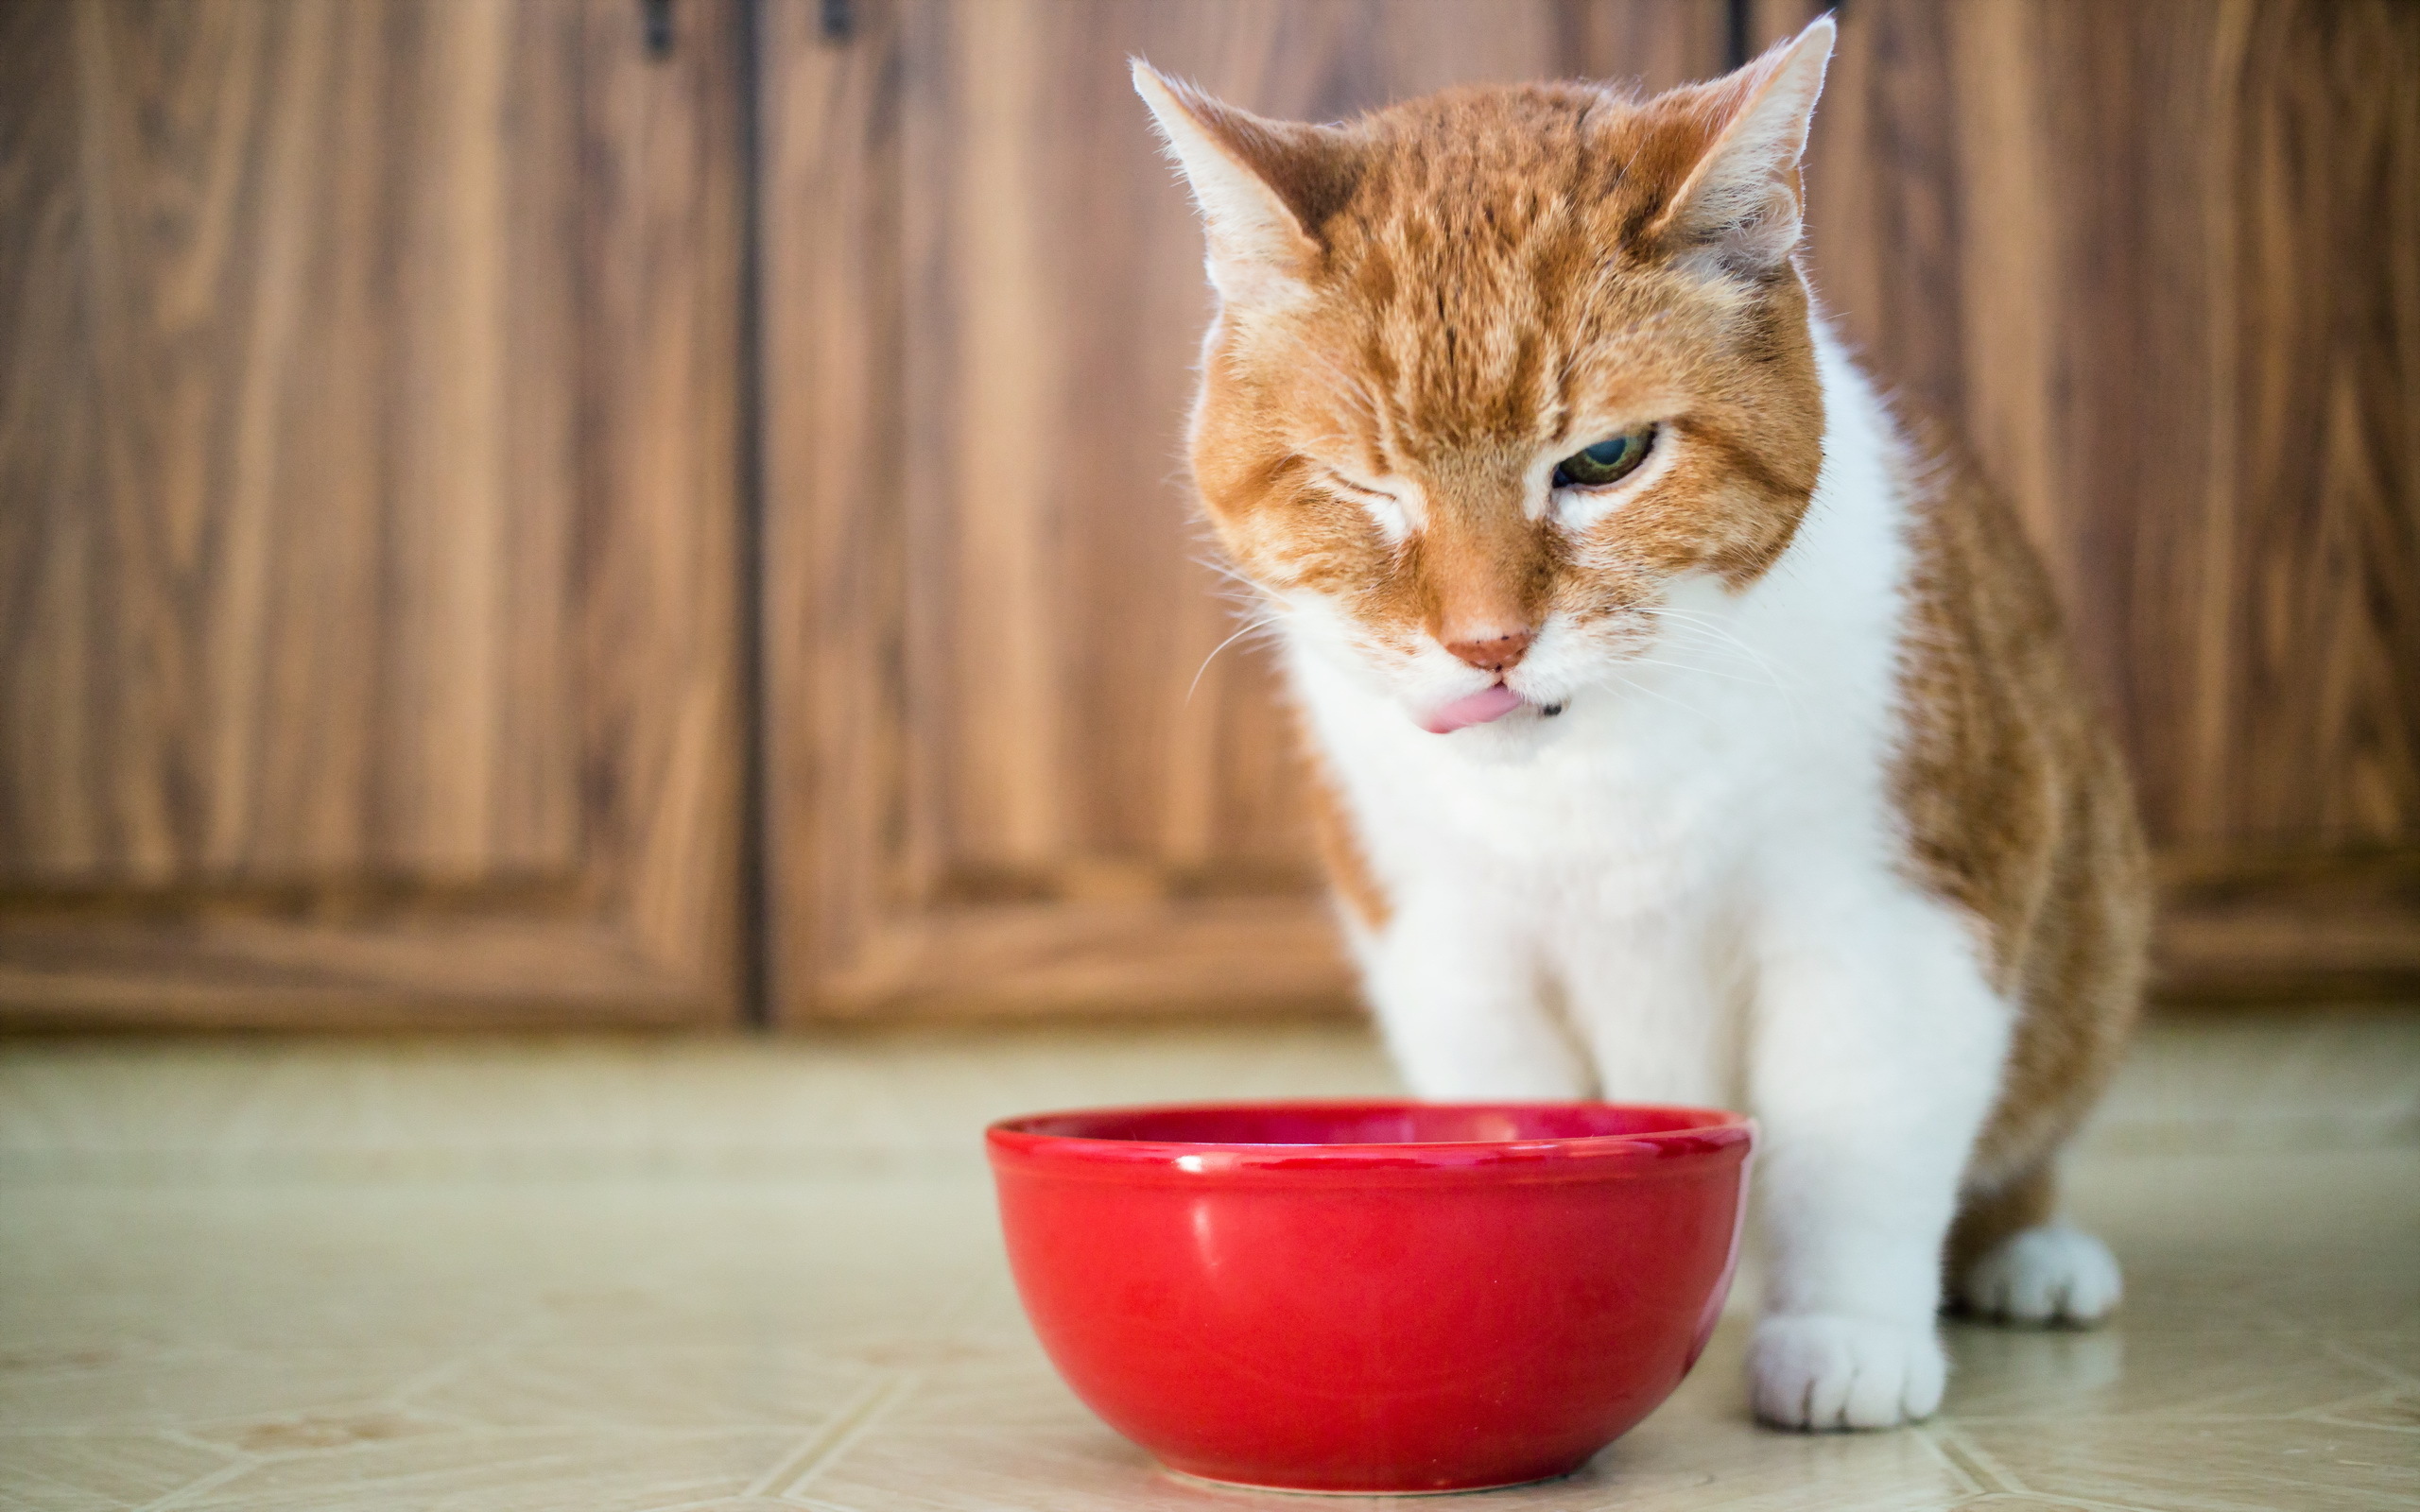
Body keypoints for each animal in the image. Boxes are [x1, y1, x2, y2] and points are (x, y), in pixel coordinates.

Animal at [1132, 14, 2158, 1422]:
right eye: (1361, 486)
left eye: (1605, 462)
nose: (1487, 642)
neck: (1591, 776)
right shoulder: (1457, 950)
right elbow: (1509, 1111)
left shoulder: (1898, 908)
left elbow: (1859, 1130)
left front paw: (1843, 1334)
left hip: (2089, 909)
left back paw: (2033, 1255)